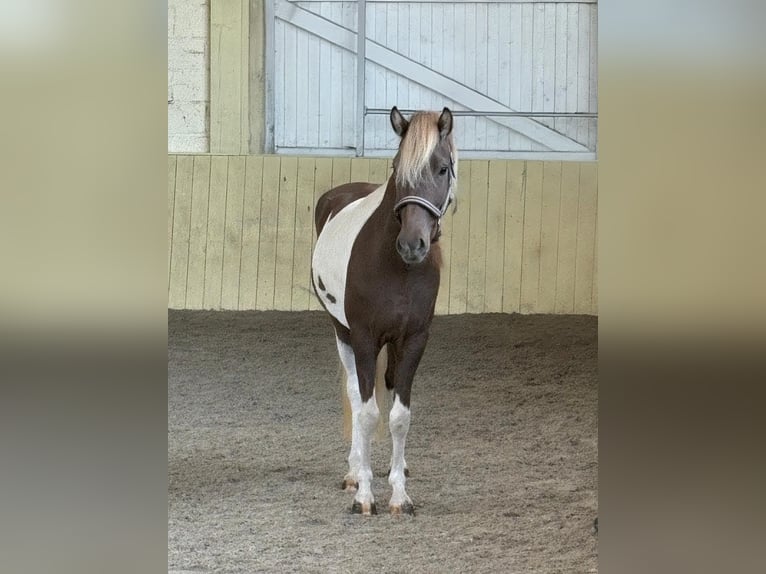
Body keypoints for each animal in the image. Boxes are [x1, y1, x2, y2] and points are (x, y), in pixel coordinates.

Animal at [311, 107, 457, 516]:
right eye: (397, 168)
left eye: (443, 168)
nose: (412, 244)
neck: (398, 267)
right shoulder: (364, 338)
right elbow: (366, 413)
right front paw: (364, 493)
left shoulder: (414, 339)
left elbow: (400, 416)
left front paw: (399, 494)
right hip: (341, 332)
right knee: (354, 395)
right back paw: (353, 471)